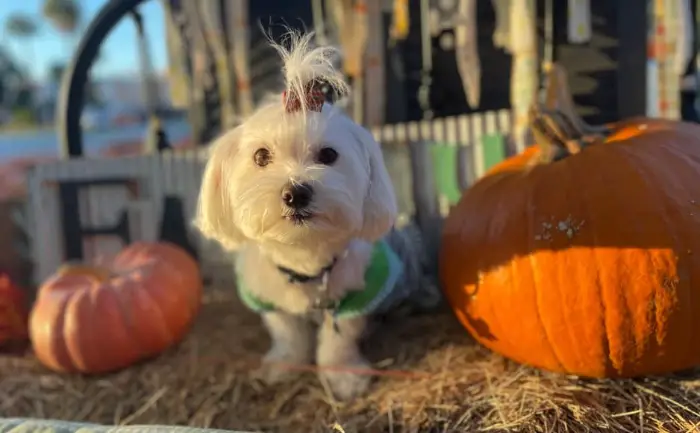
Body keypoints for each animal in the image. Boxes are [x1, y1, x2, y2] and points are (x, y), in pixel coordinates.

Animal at [194, 32, 438, 400]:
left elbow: (339, 338)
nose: (296, 193)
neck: (304, 259)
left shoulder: (359, 293)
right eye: (261, 155)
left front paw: (344, 376)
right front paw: (284, 364)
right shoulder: (267, 295)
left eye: (328, 155)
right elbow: (287, 332)